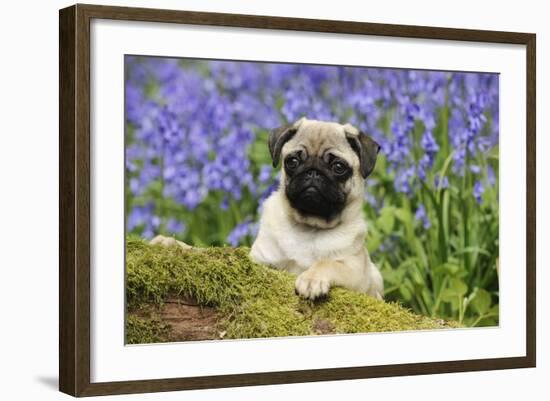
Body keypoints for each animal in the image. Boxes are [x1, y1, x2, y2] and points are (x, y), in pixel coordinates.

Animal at [251, 117, 384, 298]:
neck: (310, 226)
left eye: (338, 167)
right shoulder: (262, 257)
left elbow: (328, 263)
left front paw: (311, 279)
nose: (313, 171)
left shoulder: (356, 271)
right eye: (292, 162)